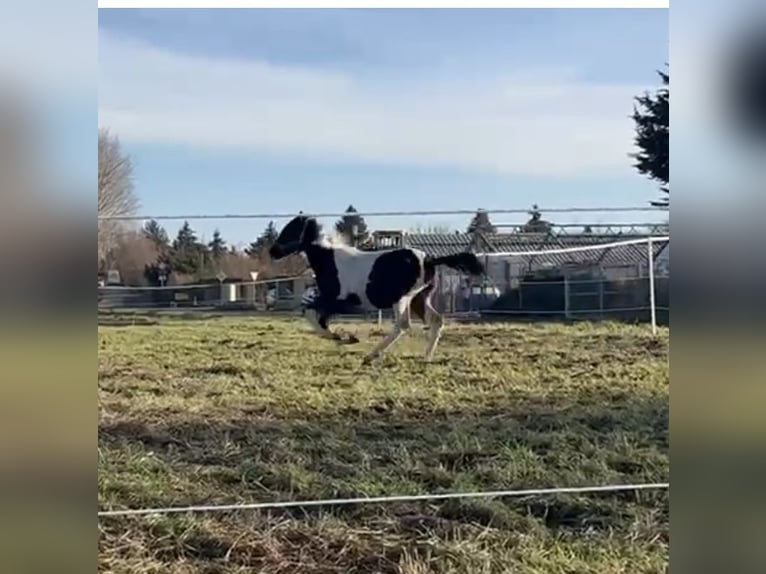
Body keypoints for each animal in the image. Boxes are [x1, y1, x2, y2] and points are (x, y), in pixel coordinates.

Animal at [270, 216, 486, 364]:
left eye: (291, 229)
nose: (273, 251)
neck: (329, 260)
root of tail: (430, 260)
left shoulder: (339, 301)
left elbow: (312, 315)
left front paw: (344, 337)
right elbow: (315, 316)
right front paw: (344, 337)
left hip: (402, 299)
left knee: (403, 325)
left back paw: (372, 355)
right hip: (419, 298)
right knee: (436, 320)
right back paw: (426, 357)